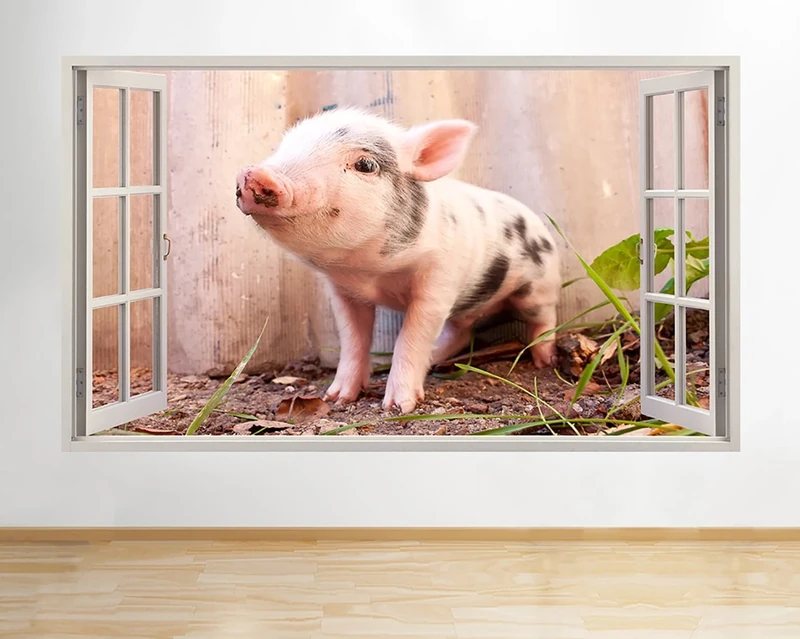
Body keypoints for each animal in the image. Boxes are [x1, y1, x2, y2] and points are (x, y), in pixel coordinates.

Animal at [235, 107, 561, 414]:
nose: (254, 174)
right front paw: (336, 398)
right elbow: (353, 340)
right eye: (285, 146)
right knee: (461, 330)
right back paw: (437, 358)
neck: (370, 273)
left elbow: (411, 337)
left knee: (544, 318)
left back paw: (545, 360)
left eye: (365, 165)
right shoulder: (343, 293)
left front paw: (398, 407)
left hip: (537, 288)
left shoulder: (439, 281)